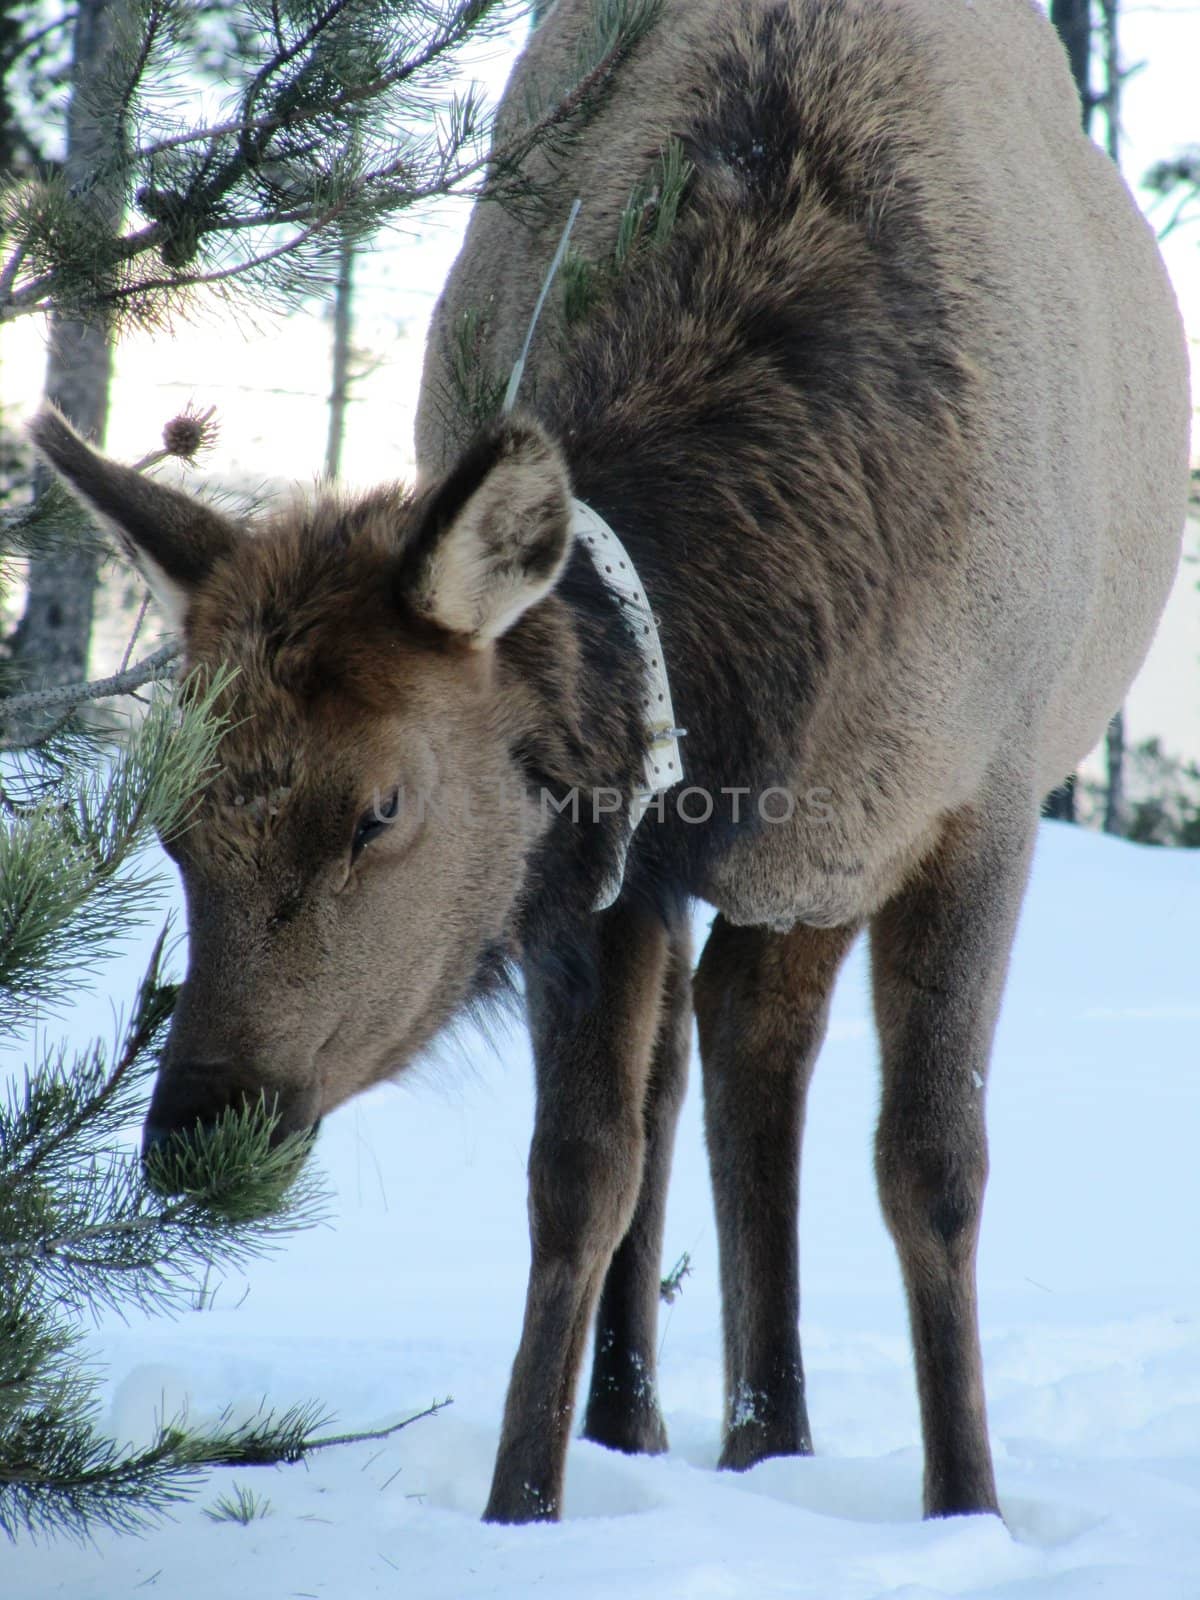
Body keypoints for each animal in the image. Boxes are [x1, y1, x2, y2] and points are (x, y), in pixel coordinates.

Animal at [30, 0, 1196, 1529]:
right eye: (171, 826)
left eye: (379, 808)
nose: (194, 1130)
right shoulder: (606, 855)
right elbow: (580, 1171)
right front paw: (524, 1505)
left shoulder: (984, 799)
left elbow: (935, 1163)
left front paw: (969, 1506)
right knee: (706, 1056)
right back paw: (678, 1427)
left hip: (836, 851)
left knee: (756, 1036)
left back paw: (770, 1436)